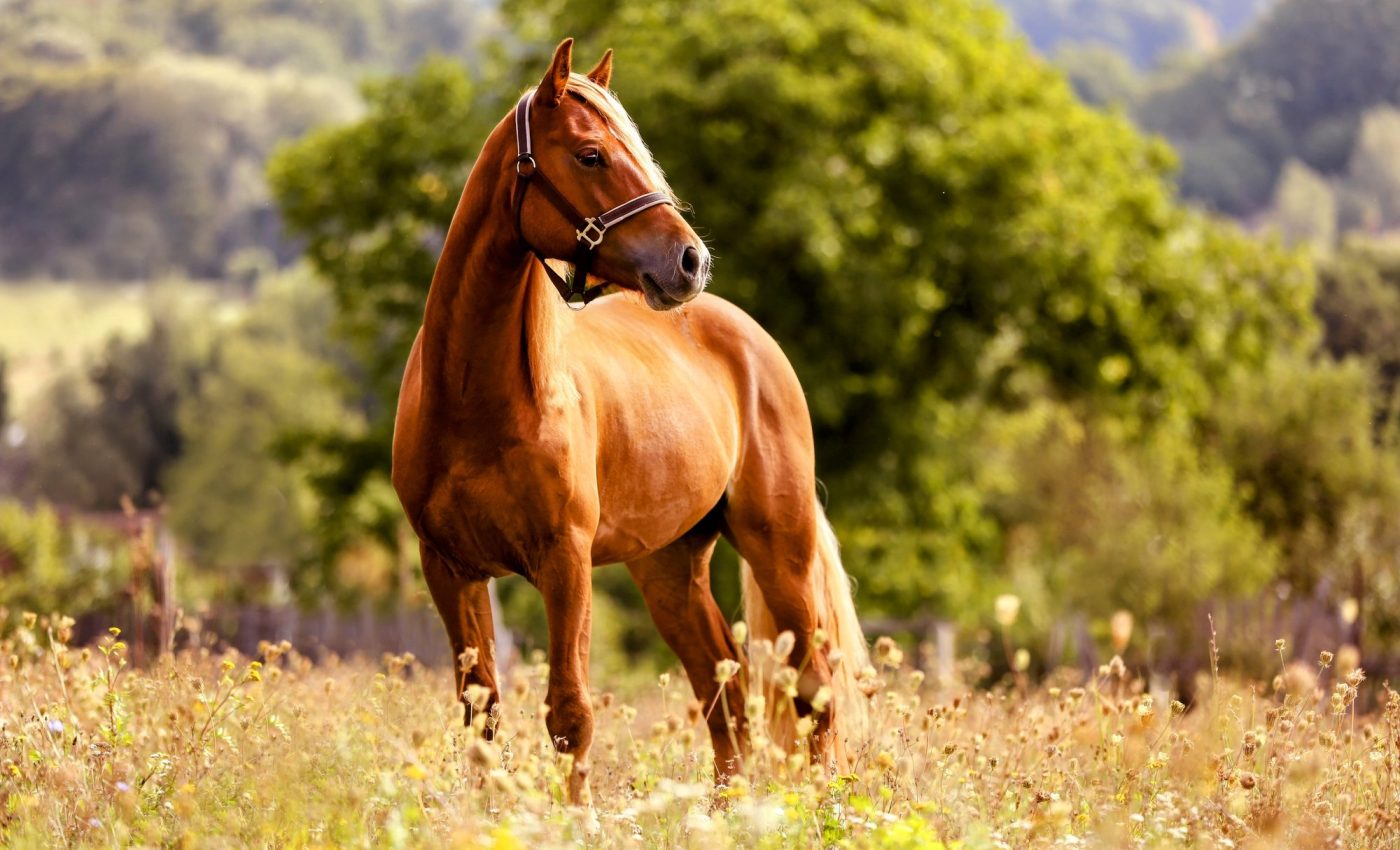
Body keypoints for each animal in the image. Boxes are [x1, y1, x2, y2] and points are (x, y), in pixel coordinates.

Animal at [391, 38, 869, 804]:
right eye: (590, 155)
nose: (690, 260)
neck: (476, 400)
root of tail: (750, 338)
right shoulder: (450, 568)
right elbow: (481, 715)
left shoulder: (564, 560)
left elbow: (569, 713)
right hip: (669, 567)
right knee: (724, 693)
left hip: (780, 549)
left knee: (811, 689)